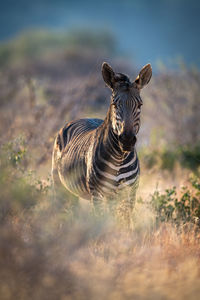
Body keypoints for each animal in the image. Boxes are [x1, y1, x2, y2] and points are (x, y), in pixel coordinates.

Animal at [51, 62, 152, 218]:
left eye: (140, 105)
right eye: (114, 104)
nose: (127, 140)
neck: (119, 158)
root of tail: (84, 117)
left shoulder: (130, 195)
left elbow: (125, 223)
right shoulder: (98, 194)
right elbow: (102, 221)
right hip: (59, 183)